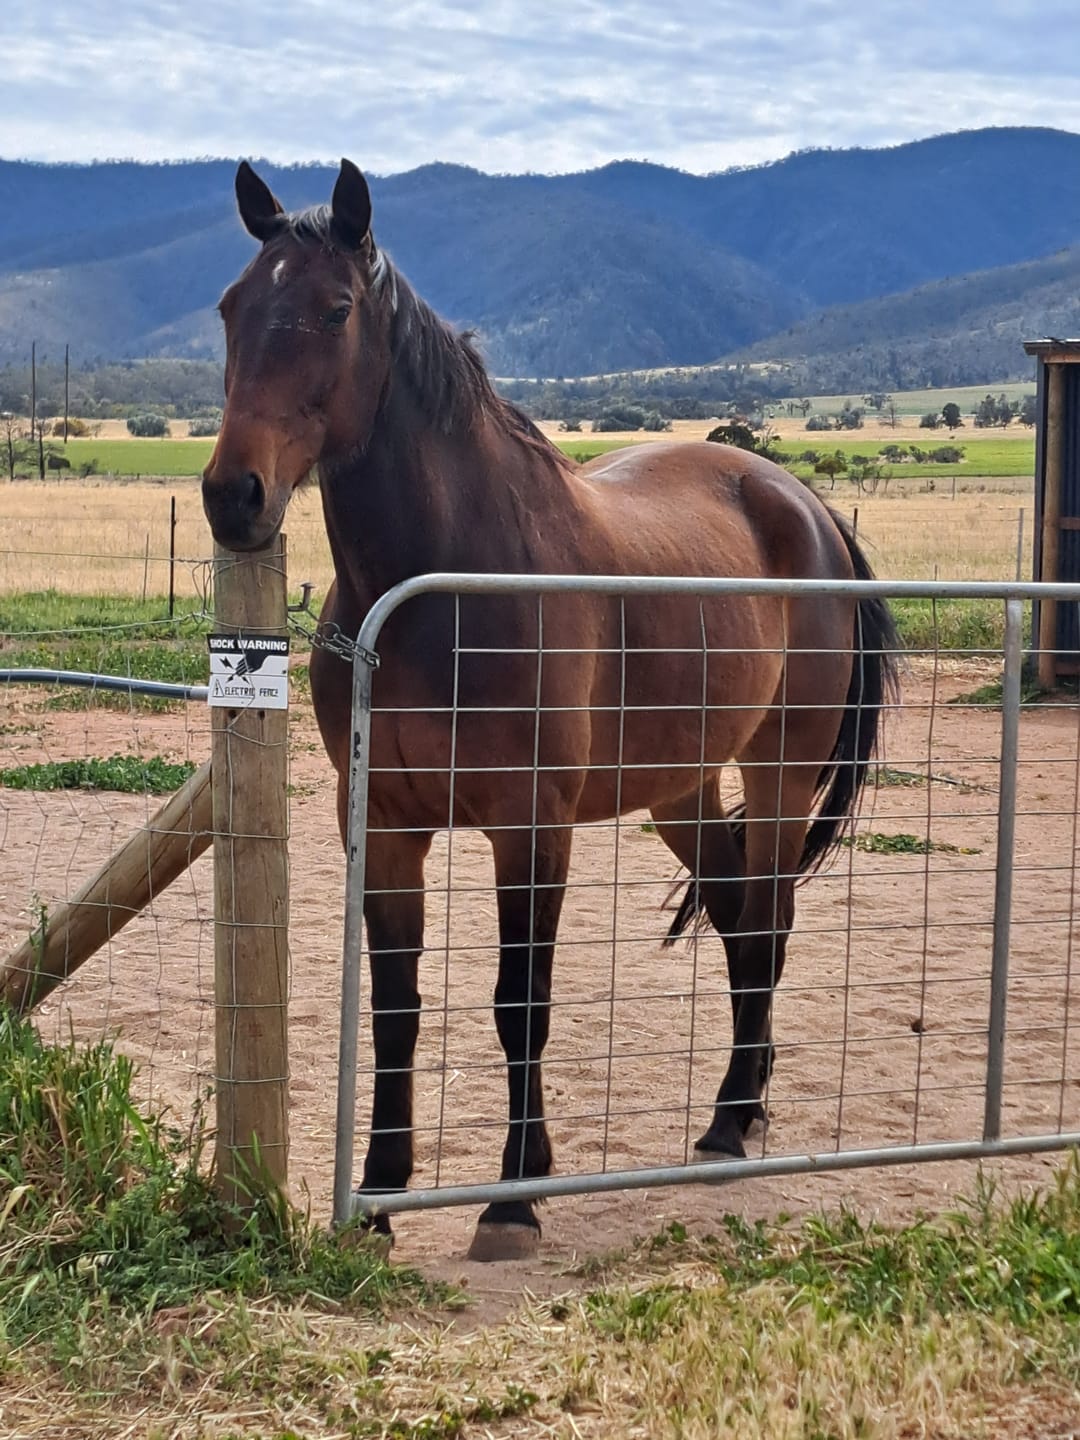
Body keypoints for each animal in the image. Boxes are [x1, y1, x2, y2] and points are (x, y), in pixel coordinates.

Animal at [201, 159, 899, 1261]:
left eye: (335, 308)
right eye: (232, 307)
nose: (235, 495)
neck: (445, 584)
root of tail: (803, 505)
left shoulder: (530, 828)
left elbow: (516, 1003)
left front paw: (513, 1199)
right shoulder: (384, 828)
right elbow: (395, 1007)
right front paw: (381, 1194)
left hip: (779, 777)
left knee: (771, 923)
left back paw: (732, 1123)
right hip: (681, 790)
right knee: (741, 922)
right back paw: (732, 1116)